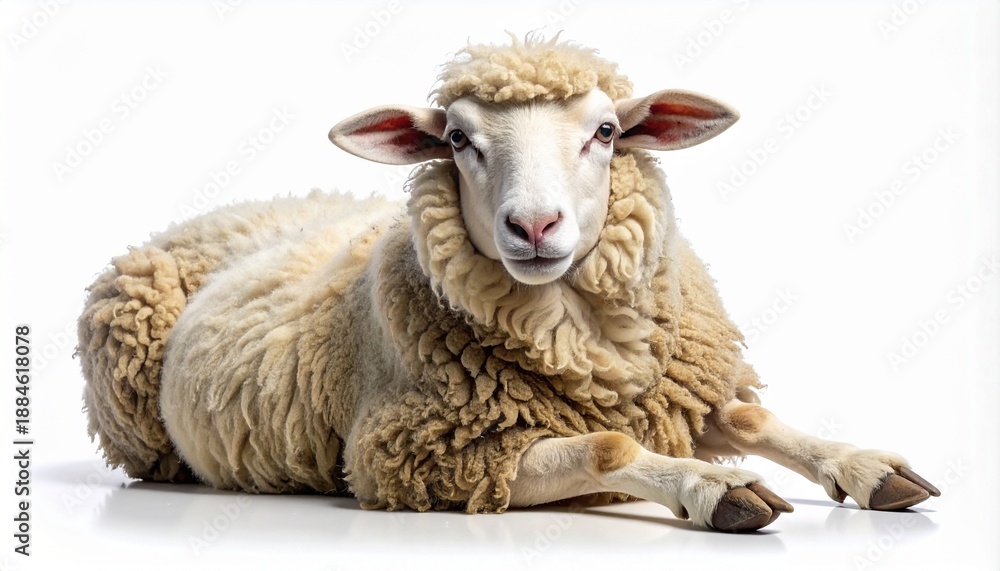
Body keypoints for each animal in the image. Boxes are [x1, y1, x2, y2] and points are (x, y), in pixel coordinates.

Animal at [77, 34, 939, 532]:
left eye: (606, 131)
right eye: (458, 139)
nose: (533, 225)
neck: (593, 352)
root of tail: (239, 208)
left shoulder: (676, 387)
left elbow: (755, 417)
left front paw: (866, 465)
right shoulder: (423, 456)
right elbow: (608, 444)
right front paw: (707, 483)